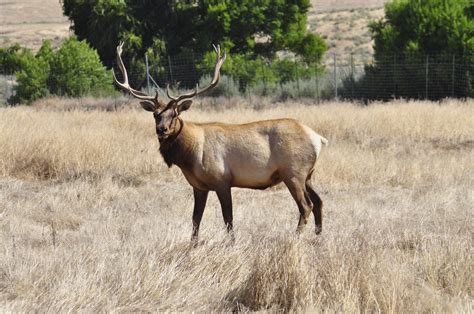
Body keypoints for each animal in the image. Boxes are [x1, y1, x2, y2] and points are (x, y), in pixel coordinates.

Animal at [112, 42, 326, 243]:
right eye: (156, 115)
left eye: (175, 114)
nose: (161, 130)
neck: (190, 156)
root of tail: (318, 138)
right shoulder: (198, 186)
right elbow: (196, 219)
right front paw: (193, 245)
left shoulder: (222, 180)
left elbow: (228, 218)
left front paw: (231, 243)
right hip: (307, 175)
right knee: (319, 201)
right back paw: (318, 236)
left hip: (293, 172)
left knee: (306, 205)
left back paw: (295, 237)